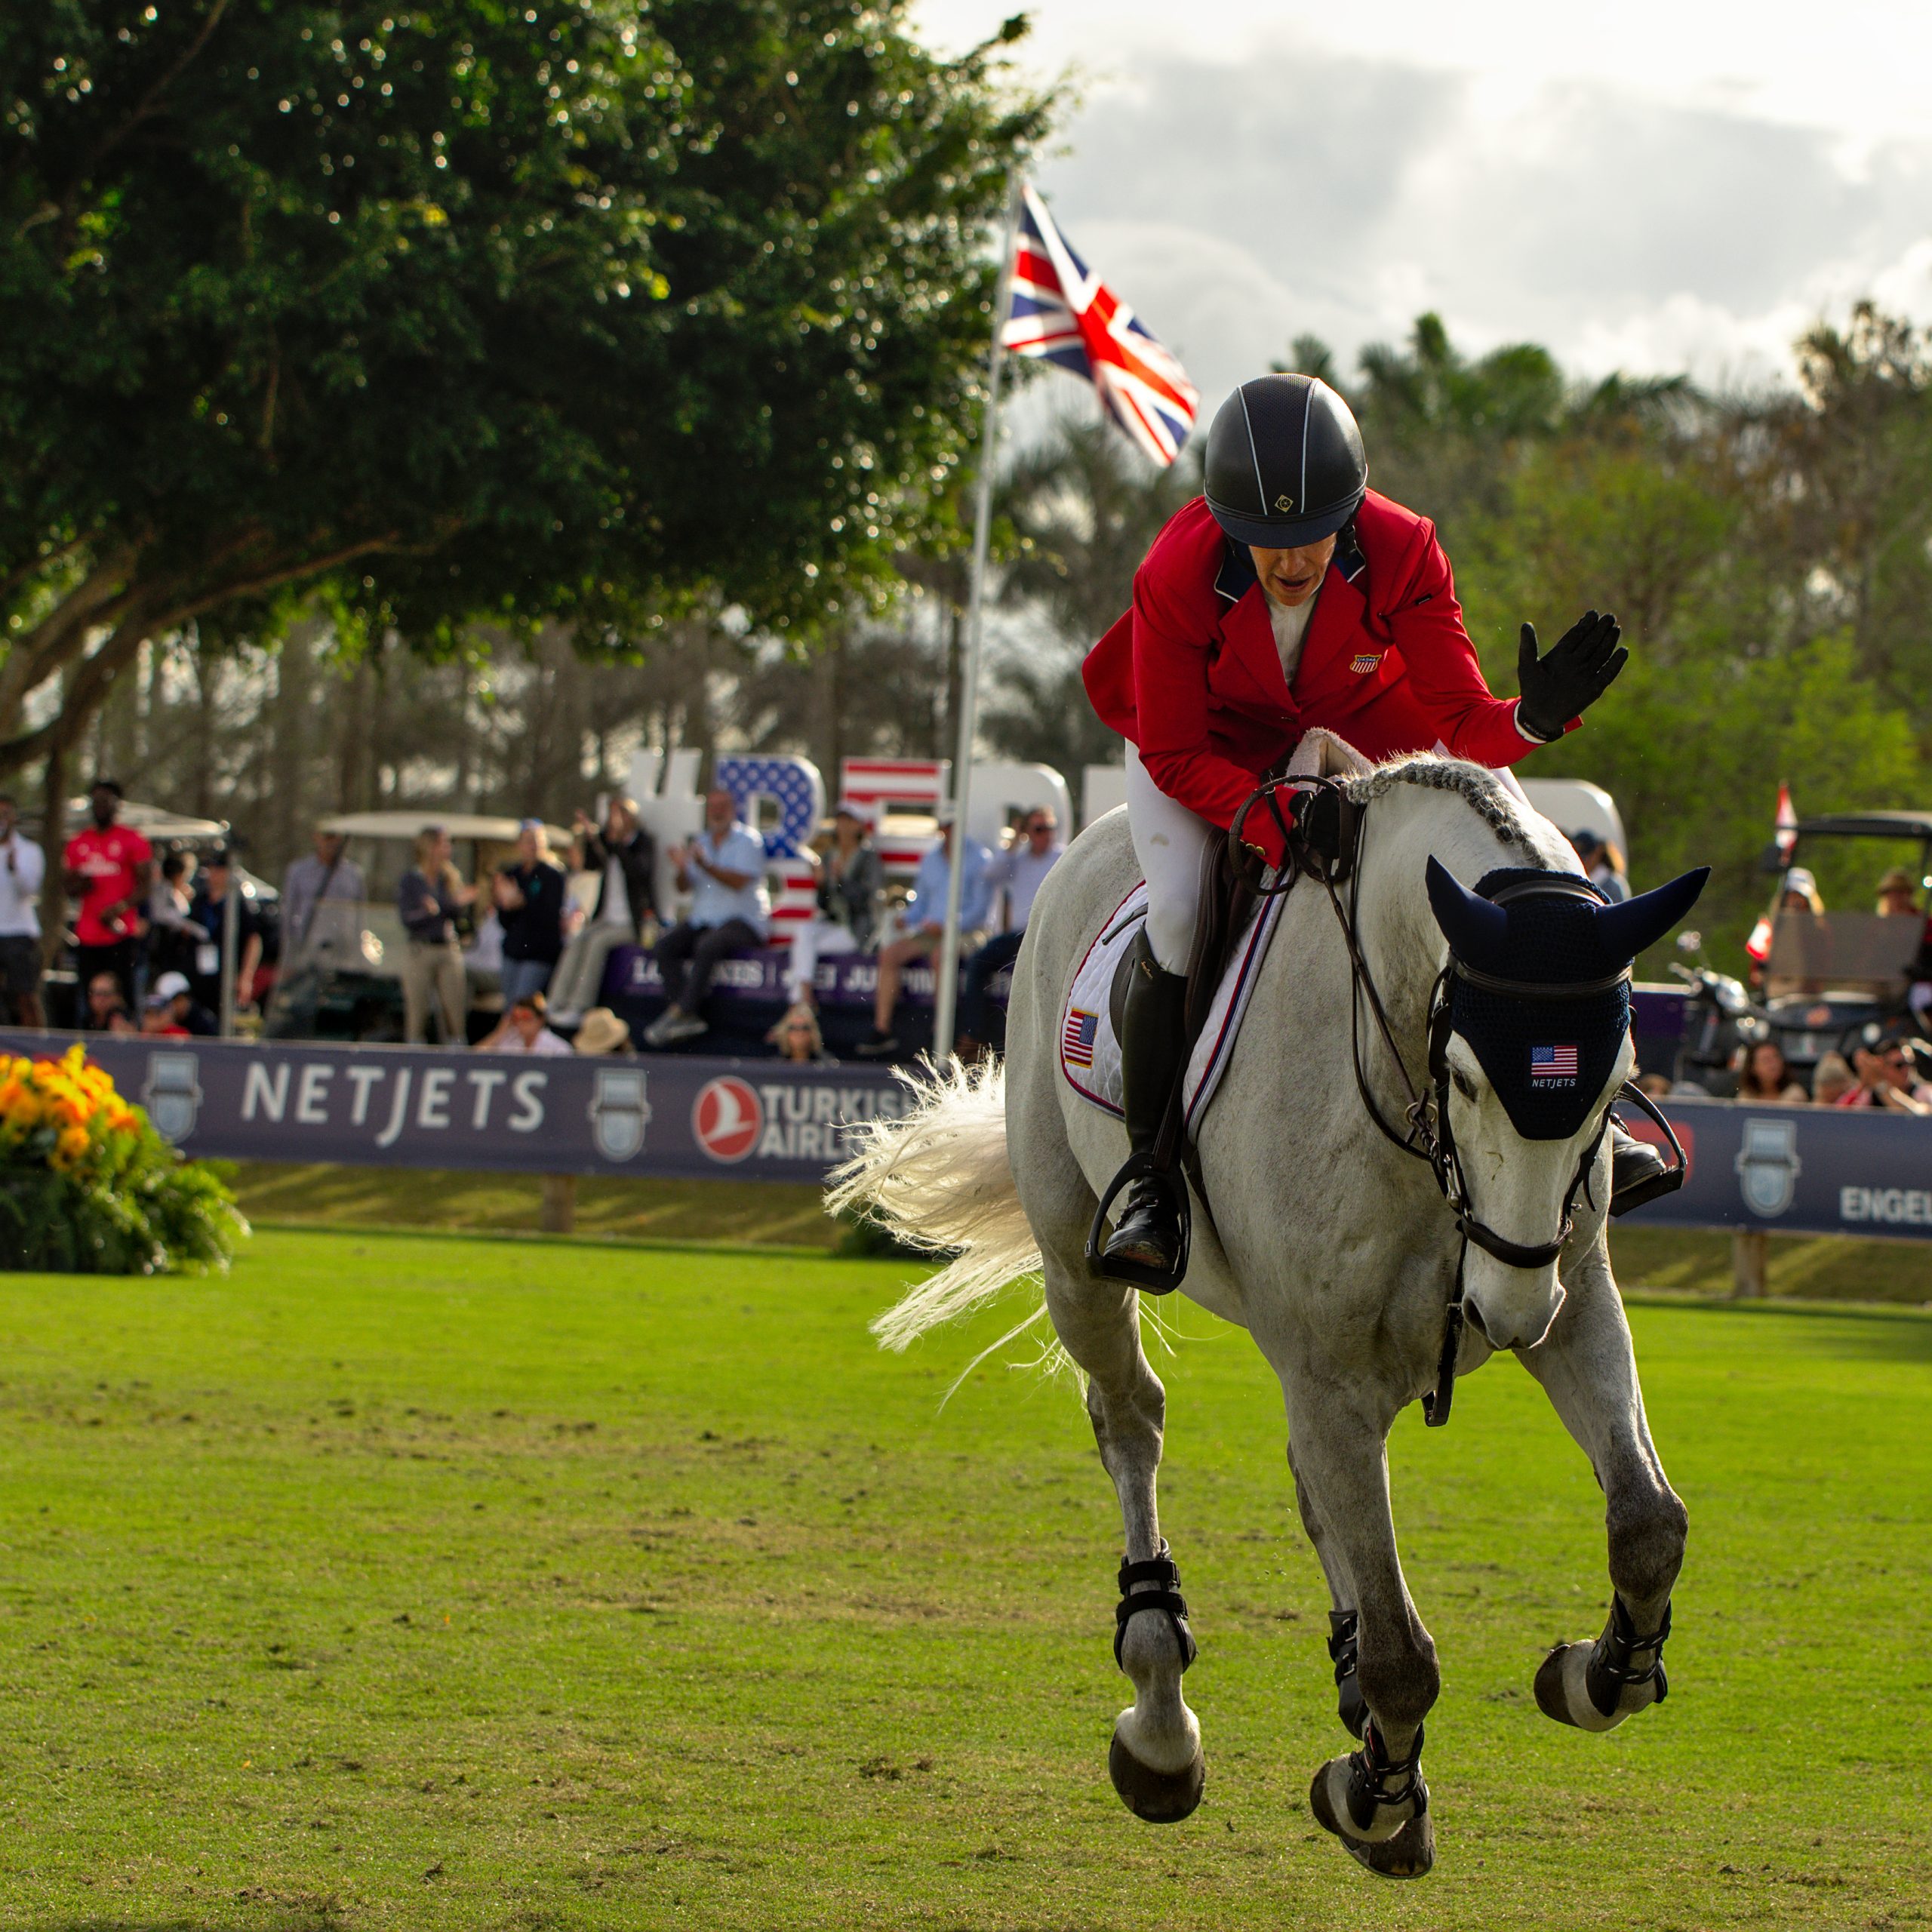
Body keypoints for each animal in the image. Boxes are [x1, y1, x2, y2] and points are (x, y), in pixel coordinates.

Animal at [830, 757, 1708, 1885]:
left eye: (1612, 1079)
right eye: (1470, 1075)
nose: (1505, 1315)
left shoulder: (1573, 1295)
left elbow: (1647, 1525)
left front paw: (1596, 1675)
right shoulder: (1331, 1371)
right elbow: (1403, 1655)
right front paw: (1369, 1796)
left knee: (1311, 1489)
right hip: (1080, 1266)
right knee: (1131, 1423)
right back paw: (1163, 1715)